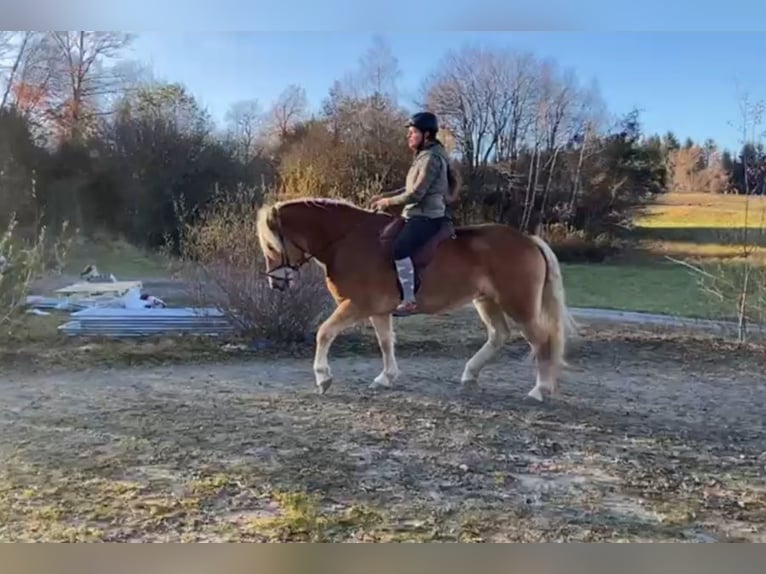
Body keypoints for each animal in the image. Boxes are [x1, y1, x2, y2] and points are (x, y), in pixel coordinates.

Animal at [255, 196, 577, 402]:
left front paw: (323, 378)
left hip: (519, 304)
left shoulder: (356, 305)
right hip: (487, 301)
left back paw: (540, 390)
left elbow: (324, 332)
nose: (275, 282)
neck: (347, 240)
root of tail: (528, 240)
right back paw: (470, 375)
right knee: (499, 335)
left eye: (271, 245)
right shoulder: (378, 310)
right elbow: (386, 342)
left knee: (541, 341)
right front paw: (386, 377)